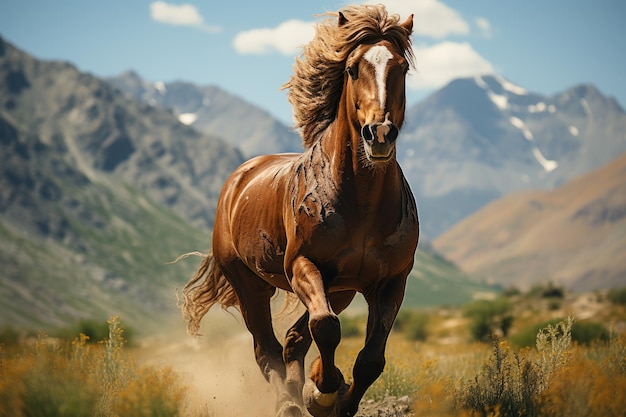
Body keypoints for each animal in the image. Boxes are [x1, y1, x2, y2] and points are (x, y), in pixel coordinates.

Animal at [178, 5, 416, 416]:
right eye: (352, 69)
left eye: (400, 67)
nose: (380, 134)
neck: (362, 203)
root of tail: (239, 179)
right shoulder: (303, 265)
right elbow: (326, 327)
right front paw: (322, 391)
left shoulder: (390, 282)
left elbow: (370, 359)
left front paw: (337, 398)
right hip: (250, 284)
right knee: (267, 348)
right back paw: (287, 402)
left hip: (341, 288)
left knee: (292, 338)